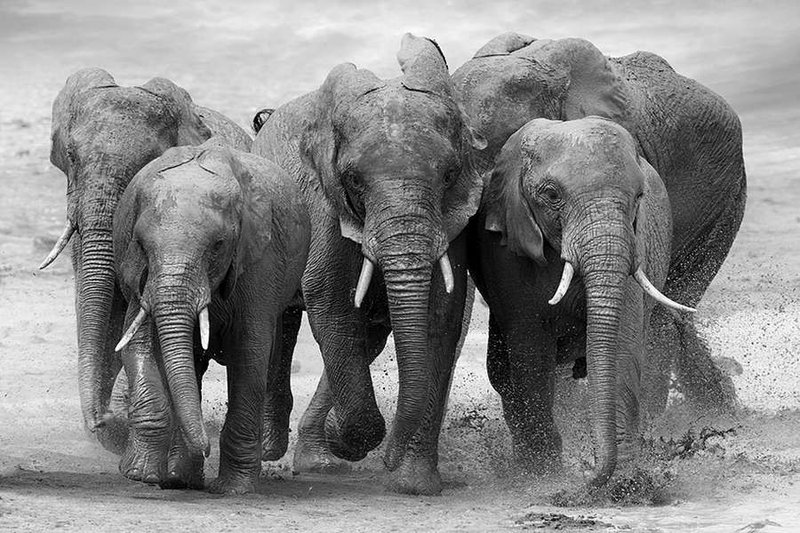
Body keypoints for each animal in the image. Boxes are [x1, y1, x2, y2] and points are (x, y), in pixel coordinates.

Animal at [40, 68, 252, 453]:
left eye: (148, 163)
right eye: (71, 156)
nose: (98, 421)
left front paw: (116, 424)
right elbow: (101, 308)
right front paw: (109, 427)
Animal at [112, 138, 310, 493]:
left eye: (218, 245)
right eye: (141, 244)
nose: (204, 446)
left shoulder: (259, 261)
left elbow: (250, 352)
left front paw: (234, 489)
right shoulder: (138, 274)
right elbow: (139, 344)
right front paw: (141, 475)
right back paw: (179, 476)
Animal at [252, 33, 486, 495]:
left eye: (449, 176)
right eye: (354, 180)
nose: (389, 461)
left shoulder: (451, 222)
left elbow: (440, 313)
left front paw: (412, 483)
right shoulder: (323, 201)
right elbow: (329, 297)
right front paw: (349, 438)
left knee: (367, 337)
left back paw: (320, 461)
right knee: (282, 322)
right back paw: (272, 448)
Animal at [468, 116, 695, 487]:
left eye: (639, 196)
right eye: (551, 195)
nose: (586, 475)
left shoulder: (634, 246)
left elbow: (621, 346)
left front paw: (626, 485)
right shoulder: (507, 252)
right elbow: (530, 352)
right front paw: (544, 476)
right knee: (502, 371)